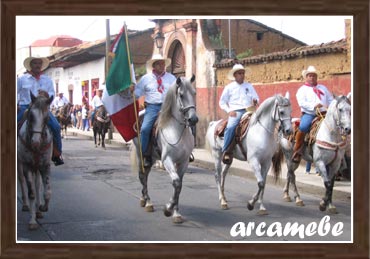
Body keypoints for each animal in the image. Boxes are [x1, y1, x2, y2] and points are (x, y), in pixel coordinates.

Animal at [17, 92, 53, 231]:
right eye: (31, 116)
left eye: (47, 118)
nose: (35, 142)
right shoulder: (27, 166)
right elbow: (31, 192)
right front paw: (32, 221)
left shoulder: (45, 165)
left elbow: (47, 192)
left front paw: (42, 207)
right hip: (21, 163)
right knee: (22, 180)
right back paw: (26, 205)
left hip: (37, 167)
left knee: (38, 185)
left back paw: (37, 210)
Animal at [131, 74, 198, 223]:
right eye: (181, 95)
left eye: (194, 93)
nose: (193, 119)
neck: (177, 130)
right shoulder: (167, 160)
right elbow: (176, 182)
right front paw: (168, 209)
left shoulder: (183, 162)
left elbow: (179, 186)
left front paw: (176, 213)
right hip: (140, 154)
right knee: (142, 176)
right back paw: (148, 202)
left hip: (151, 157)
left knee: (146, 175)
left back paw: (144, 199)